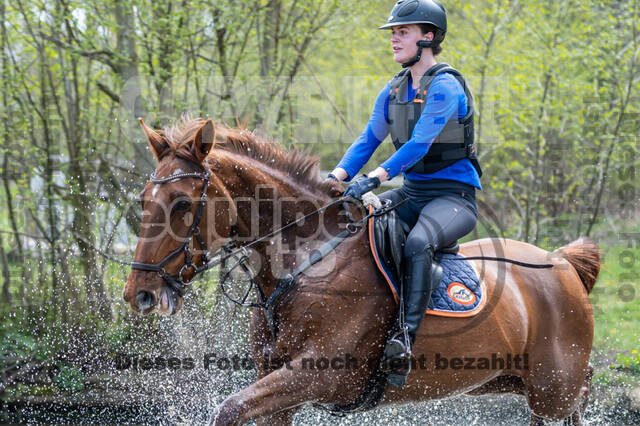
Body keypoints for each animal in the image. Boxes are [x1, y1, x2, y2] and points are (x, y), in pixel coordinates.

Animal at [124, 116, 600, 426]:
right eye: (144, 199)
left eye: (182, 203)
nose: (138, 293)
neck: (306, 260)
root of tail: (563, 262)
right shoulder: (277, 388)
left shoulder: (316, 375)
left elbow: (229, 409)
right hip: (514, 384)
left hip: (554, 390)